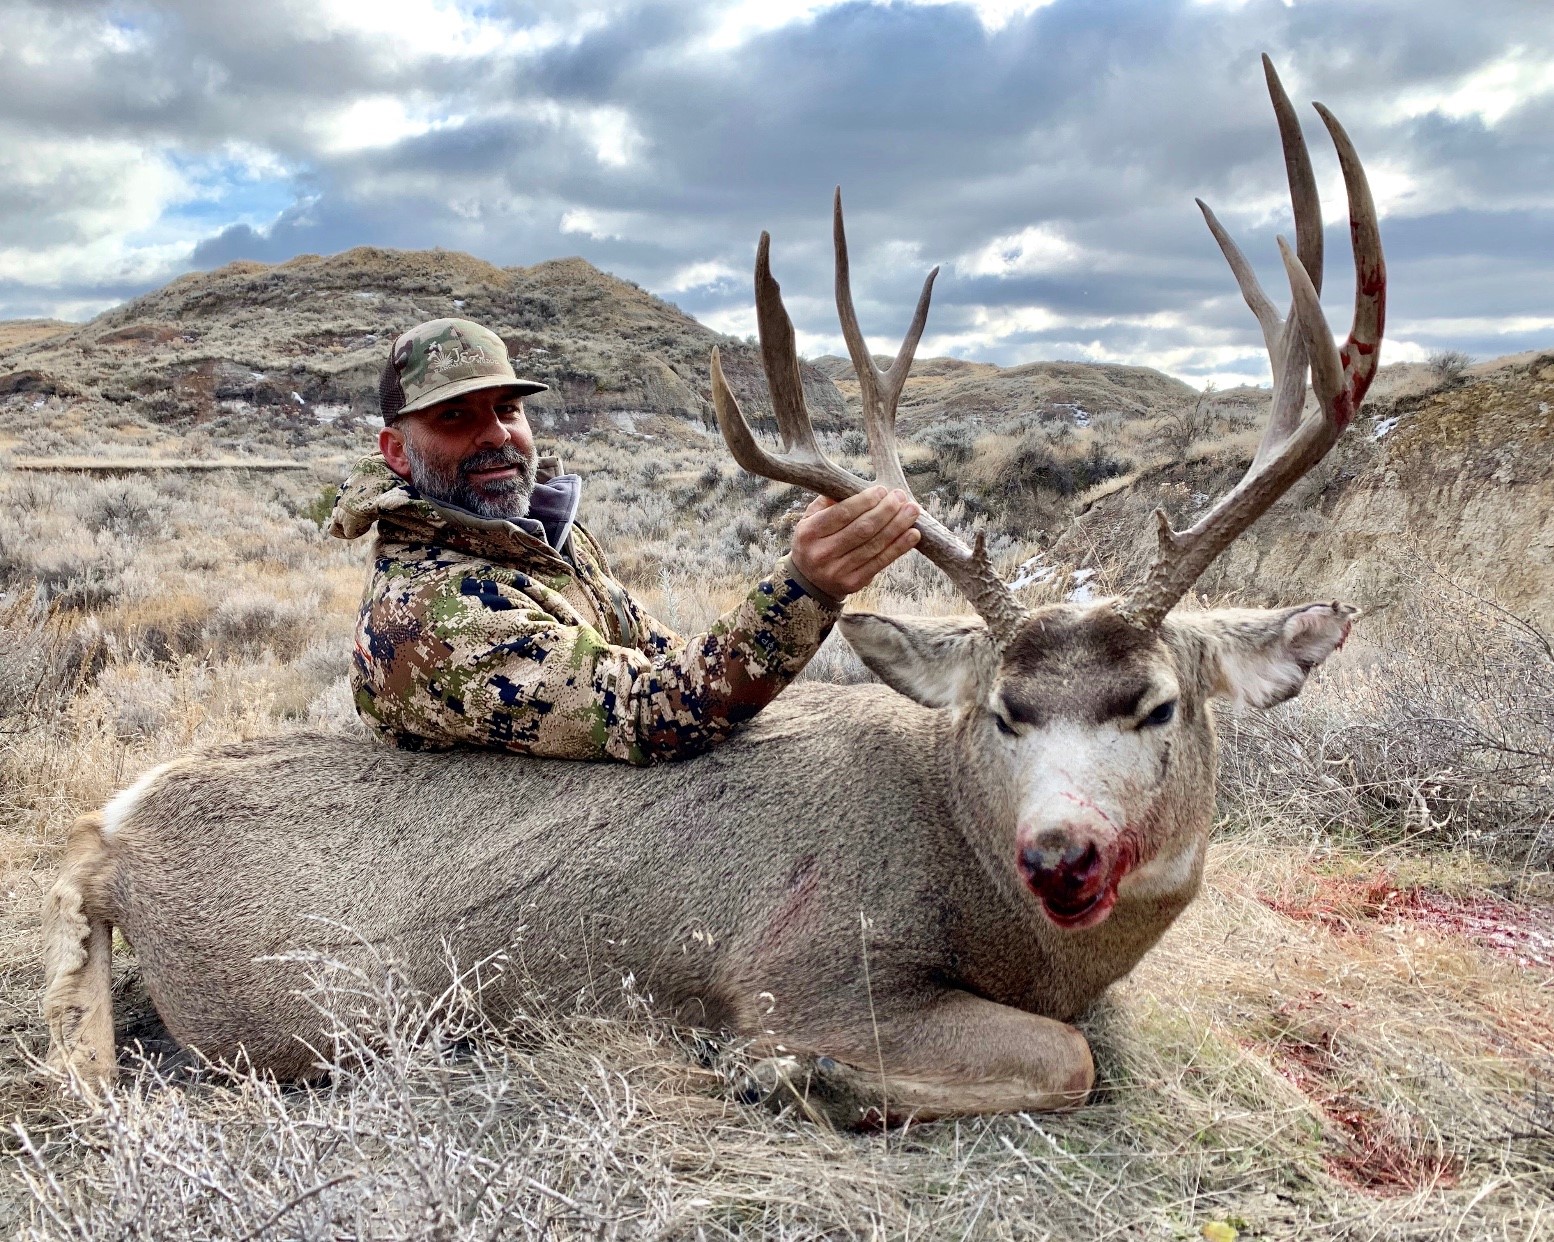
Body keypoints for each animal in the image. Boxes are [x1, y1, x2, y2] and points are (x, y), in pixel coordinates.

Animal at [45, 58, 1386, 1125]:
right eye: (1003, 711)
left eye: (1157, 704)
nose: (1061, 854)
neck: (982, 885)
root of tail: (108, 836)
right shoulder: (809, 966)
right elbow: (1070, 1059)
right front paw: (798, 1077)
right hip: (307, 1015)